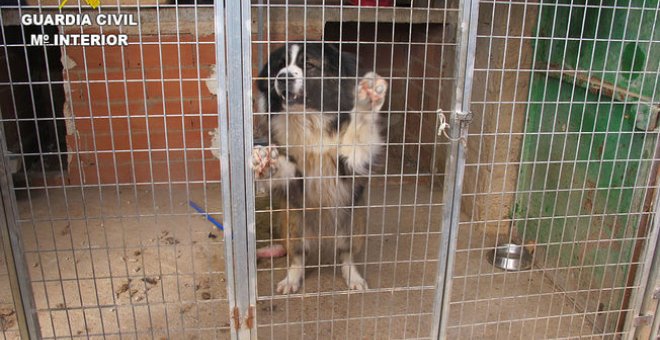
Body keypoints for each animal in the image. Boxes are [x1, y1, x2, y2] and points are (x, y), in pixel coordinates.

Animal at [251, 41, 386, 292]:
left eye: (309, 65)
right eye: (279, 66)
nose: (283, 78)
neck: (309, 120)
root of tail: (322, 238)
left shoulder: (349, 165)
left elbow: (359, 133)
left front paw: (367, 99)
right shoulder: (297, 176)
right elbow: (284, 170)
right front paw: (264, 162)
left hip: (354, 223)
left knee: (346, 255)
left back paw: (353, 277)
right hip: (293, 221)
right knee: (297, 257)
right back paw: (291, 278)